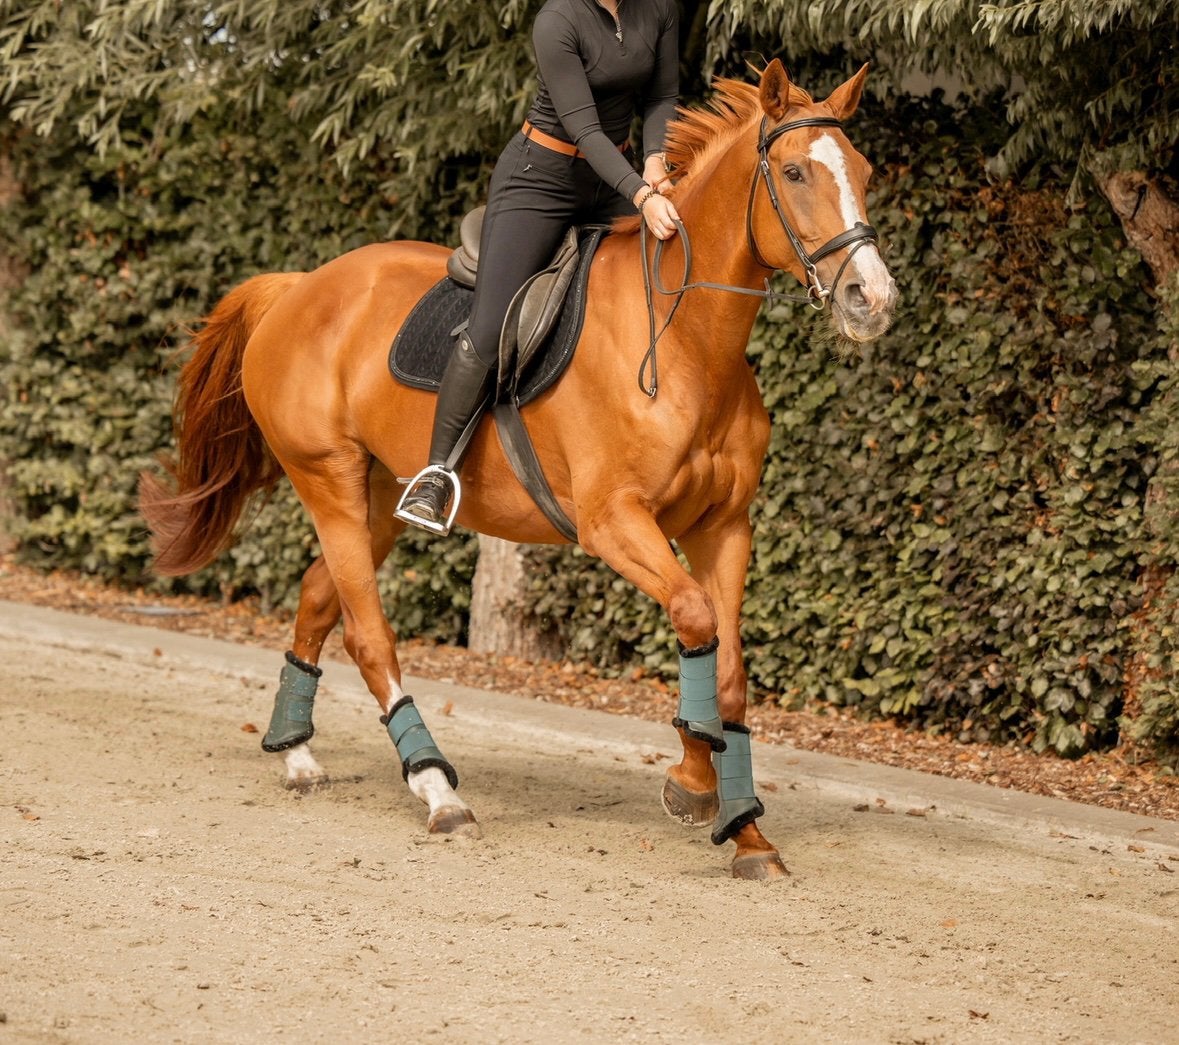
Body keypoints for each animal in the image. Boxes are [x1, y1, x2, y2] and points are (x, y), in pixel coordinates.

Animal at [139, 60, 897, 881]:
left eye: (863, 173)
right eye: (793, 173)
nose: (872, 299)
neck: (688, 343)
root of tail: (298, 285)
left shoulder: (722, 527)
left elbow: (726, 665)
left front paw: (741, 825)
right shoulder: (613, 521)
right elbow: (694, 616)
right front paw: (696, 785)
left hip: (376, 496)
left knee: (316, 599)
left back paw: (298, 755)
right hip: (328, 480)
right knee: (369, 635)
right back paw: (438, 791)